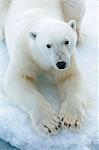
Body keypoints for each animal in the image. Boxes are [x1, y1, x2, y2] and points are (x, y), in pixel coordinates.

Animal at [0, 0, 88, 134]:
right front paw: (50, 123)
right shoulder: (25, 53)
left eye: (66, 41)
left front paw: (71, 119)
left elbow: (69, 77)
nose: (61, 64)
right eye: (48, 45)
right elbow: (18, 79)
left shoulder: (70, 57)